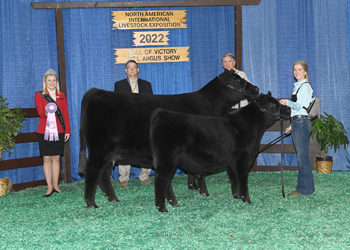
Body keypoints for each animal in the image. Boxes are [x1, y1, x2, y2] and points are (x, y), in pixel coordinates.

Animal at [80, 69, 260, 208]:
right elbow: (201, 172)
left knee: (102, 175)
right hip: (100, 149)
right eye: (236, 79)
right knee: (92, 172)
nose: (257, 88)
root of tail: (96, 91)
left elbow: (193, 170)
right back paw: (91, 203)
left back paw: (112, 198)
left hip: (106, 152)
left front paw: (192, 186)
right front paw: (203, 191)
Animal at [149, 92, 292, 213]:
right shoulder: (243, 159)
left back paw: (173, 203)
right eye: (272, 104)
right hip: (167, 159)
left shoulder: (232, 162)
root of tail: (162, 112)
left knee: (167, 181)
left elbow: (234, 180)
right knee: (161, 180)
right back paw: (162, 208)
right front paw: (246, 200)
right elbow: (243, 180)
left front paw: (236, 196)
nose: (289, 109)